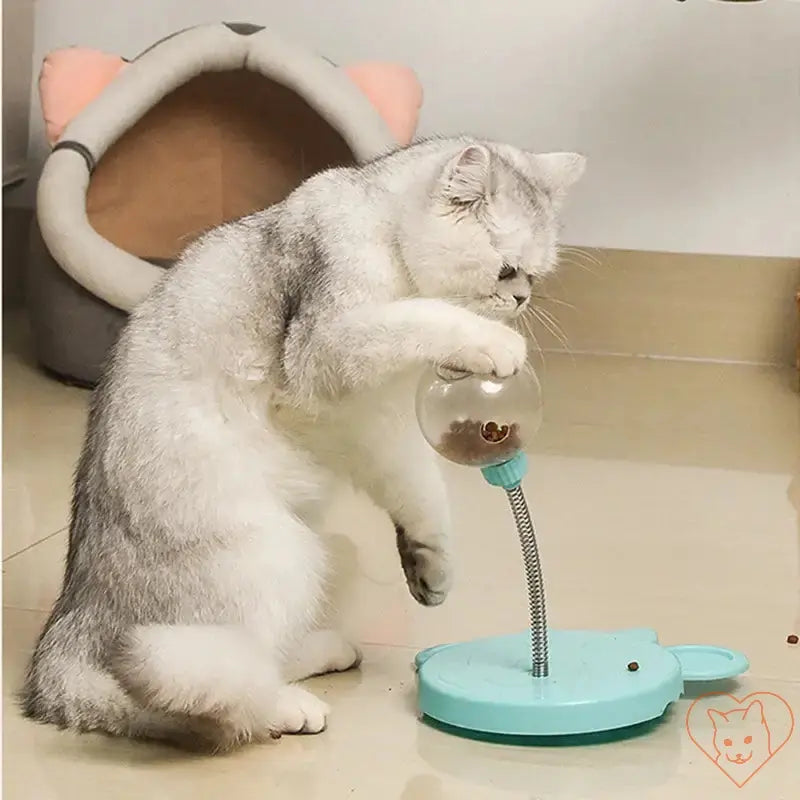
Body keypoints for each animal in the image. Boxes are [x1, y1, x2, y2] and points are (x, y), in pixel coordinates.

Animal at [21, 136, 584, 752]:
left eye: (536, 275)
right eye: (508, 271)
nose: (523, 300)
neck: (382, 232)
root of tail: (66, 634)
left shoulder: (373, 424)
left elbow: (421, 490)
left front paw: (430, 564)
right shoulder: (330, 350)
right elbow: (421, 316)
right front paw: (491, 341)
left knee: (260, 660)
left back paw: (324, 653)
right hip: (278, 552)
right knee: (206, 695)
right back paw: (284, 708)